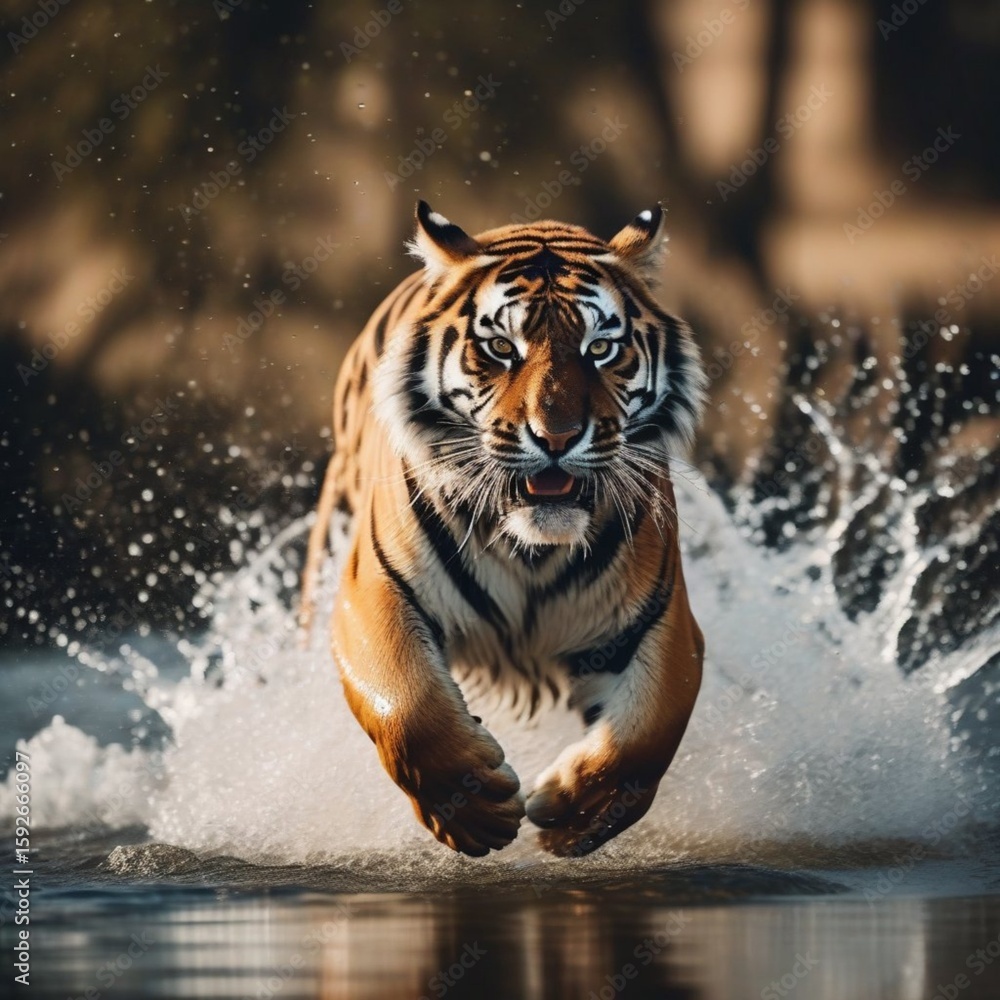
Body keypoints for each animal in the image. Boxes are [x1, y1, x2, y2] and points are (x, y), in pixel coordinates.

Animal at [300, 200, 706, 857]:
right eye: (499, 347)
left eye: (600, 348)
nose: (557, 437)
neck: (532, 550)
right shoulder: (373, 589)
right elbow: (406, 704)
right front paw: (473, 811)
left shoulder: (662, 619)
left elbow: (651, 729)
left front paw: (572, 814)